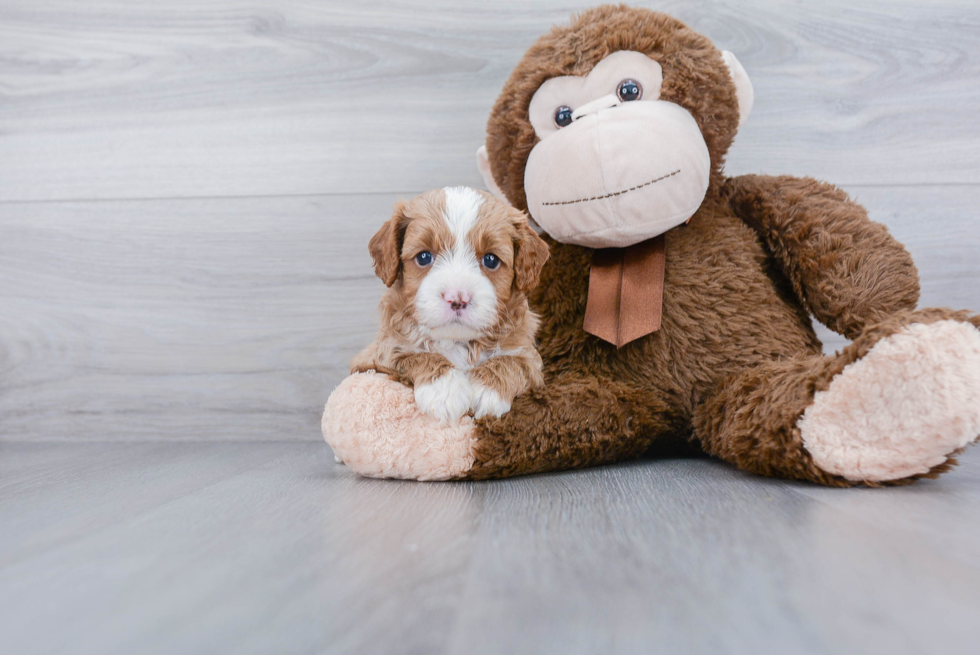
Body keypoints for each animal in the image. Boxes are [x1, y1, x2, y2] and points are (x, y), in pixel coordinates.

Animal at [352, 188, 552, 426]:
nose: (457, 298)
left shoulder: (529, 359)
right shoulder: (378, 355)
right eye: (424, 257)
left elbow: (511, 361)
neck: (459, 341)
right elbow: (413, 356)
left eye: (491, 260)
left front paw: (487, 390)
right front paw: (443, 391)